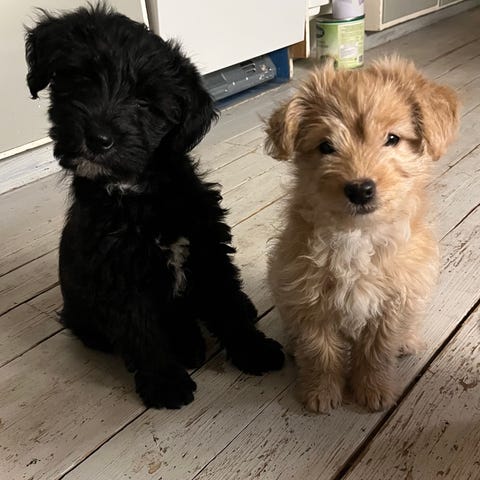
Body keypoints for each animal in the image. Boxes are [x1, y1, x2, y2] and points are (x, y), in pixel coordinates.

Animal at [25, 4, 284, 409]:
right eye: (81, 78)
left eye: (146, 102)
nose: (98, 139)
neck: (141, 193)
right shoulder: (121, 277)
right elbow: (142, 333)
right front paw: (165, 383)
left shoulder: (207, 250)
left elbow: (225, 303)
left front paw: (254, 351)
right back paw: (187, 345)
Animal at [265, 57, 458, 412]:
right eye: (326, 146)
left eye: (392, 138)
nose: (360, 189)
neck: (358, 235)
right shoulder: (308, 300)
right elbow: (320, 353)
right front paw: (321, 392)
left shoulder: (392, 305)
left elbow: (377, 353)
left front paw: (373, 390)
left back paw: (408, 341)